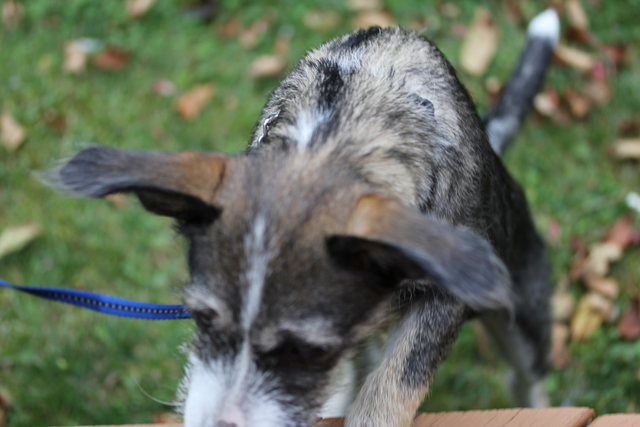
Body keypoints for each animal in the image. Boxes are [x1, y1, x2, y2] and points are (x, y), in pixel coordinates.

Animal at [53, 8, 559, 427]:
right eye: (202, 319)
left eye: (304, 349)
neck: (335, 131)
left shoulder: (445, 295)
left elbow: (397, 379)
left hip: (526, 315)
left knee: (525, 375)